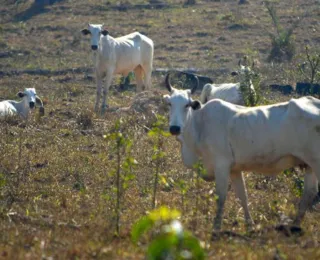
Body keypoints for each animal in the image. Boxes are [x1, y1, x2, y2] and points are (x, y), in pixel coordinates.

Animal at [164, 72, 320, 230]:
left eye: (187, 105)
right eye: (170, 104)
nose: (175, 128)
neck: (199, 125)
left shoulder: (221, 165)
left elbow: (221, 197)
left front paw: (216, 227)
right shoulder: (234, 170)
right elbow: (242, 196)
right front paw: (250, 225)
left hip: (316, 162)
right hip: (309, 165)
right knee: (309, 192)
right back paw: (295, 224)